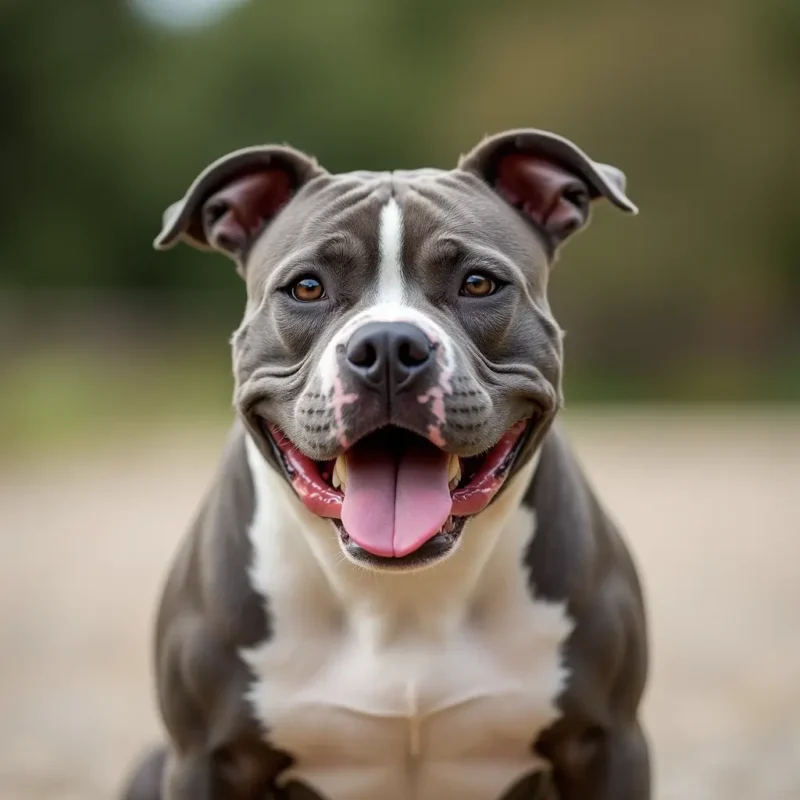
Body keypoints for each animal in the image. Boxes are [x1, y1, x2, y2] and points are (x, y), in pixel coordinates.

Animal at [122, 128, 652, 796]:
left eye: (479, 284)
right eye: (307, 287)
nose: (390, 345)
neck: (399, 600)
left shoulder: (607, 742)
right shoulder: (205, 758)